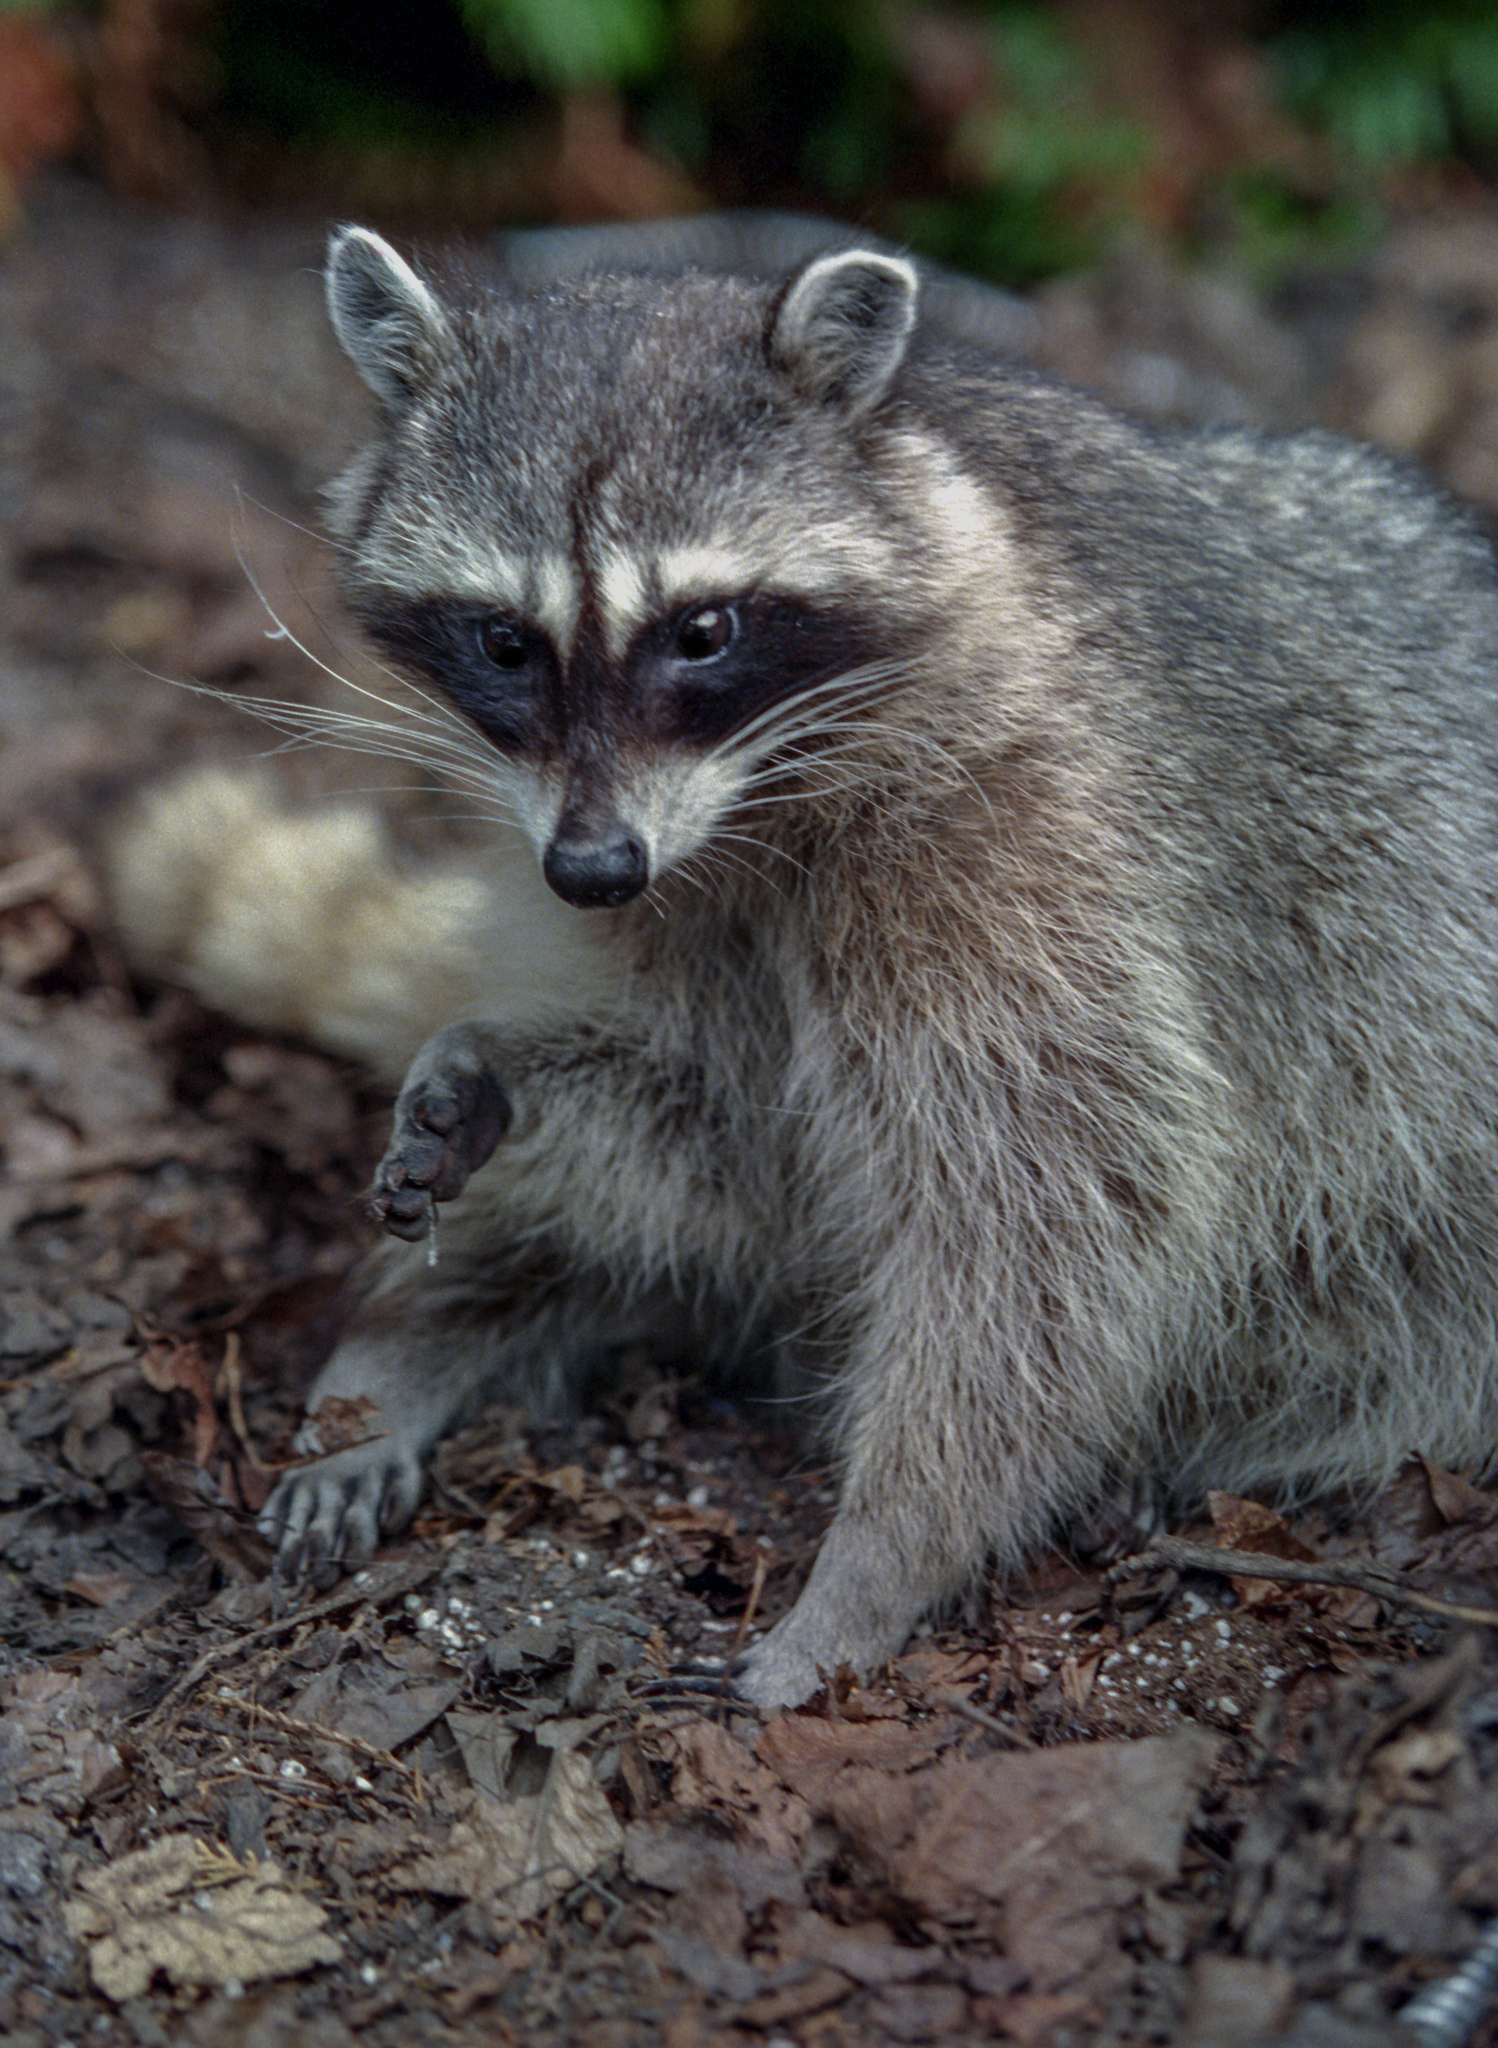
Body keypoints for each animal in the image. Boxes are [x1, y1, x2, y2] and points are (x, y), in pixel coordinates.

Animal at [111, 228, 1498, 1712]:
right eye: (502, 640)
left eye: (703, 629)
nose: (589, 869)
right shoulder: (669, 888)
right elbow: (745, 1148)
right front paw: (501, 1070)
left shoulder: (1031, 841)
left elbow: (1048, 1223)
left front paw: (880, 1561)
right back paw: (416, 1330)